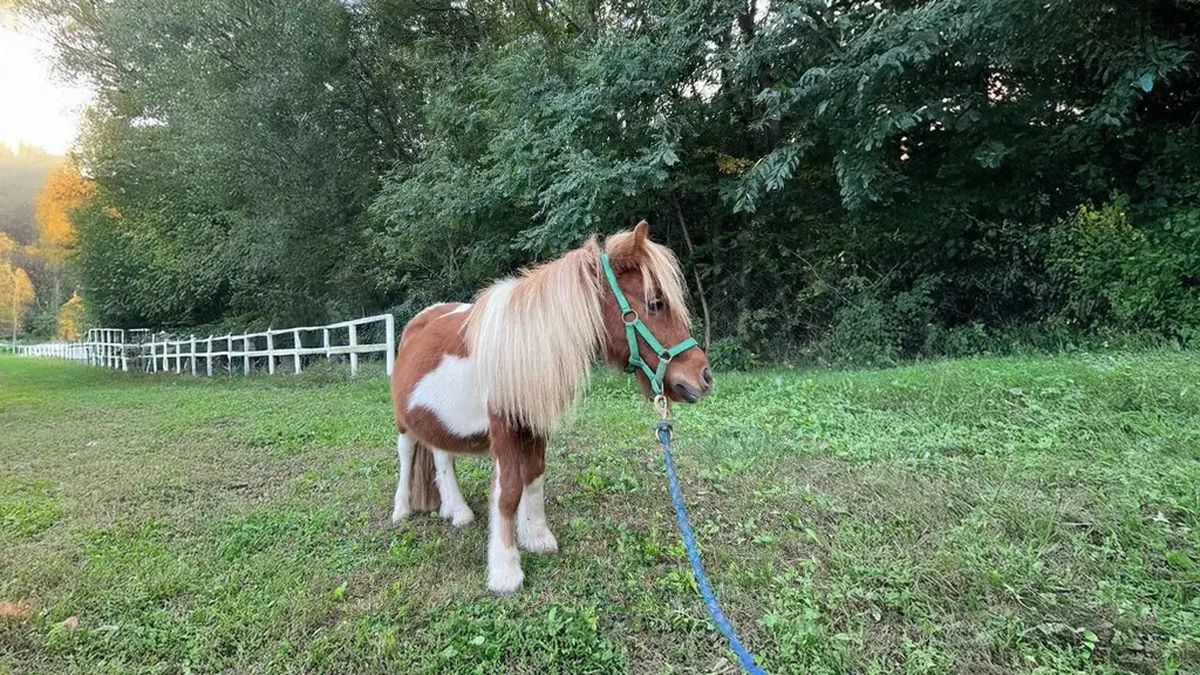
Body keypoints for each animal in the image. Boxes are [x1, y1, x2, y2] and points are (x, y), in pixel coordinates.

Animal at [388, 220, 713, 593]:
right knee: (407, 452)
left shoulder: (533, 423)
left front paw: (536, 536)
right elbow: (509, 490)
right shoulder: (504, 429)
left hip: (438, 418)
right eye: (655, 303)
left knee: (442, 456)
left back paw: (457, 512)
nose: (703, 376)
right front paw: (505, 571)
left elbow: (534, 477)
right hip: (403, 422)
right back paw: (401, 511)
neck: (522, 347)